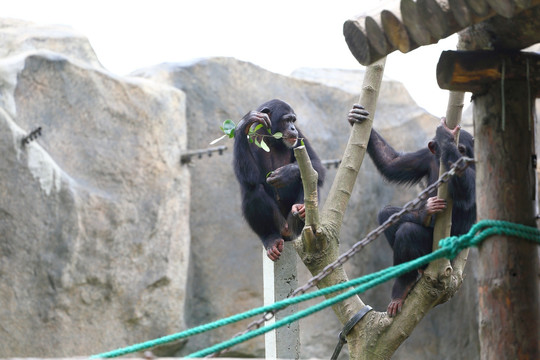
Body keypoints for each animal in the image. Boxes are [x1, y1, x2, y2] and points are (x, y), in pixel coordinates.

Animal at [232, 99, 324, 262]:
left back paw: (301, 209)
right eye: (287, 120)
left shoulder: (300, 136)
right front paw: (245, 123)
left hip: (295, 229)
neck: (272, 140)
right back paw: (271, 238)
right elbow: (250, 178)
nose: (292, 128)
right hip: (280, 226)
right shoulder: (250, 141)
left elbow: (317, 166)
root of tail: (287, 234)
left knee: (309, 180)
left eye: (293, 120)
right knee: (253, 190)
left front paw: (286, 173)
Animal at [348, 103, 474, 316]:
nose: (460, 154)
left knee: (408, 231)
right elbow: (393, 164)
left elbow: (467, 195)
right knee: (387, 215)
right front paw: (358, 116)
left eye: (462, 149)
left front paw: (446, 135)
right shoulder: (425, 157)